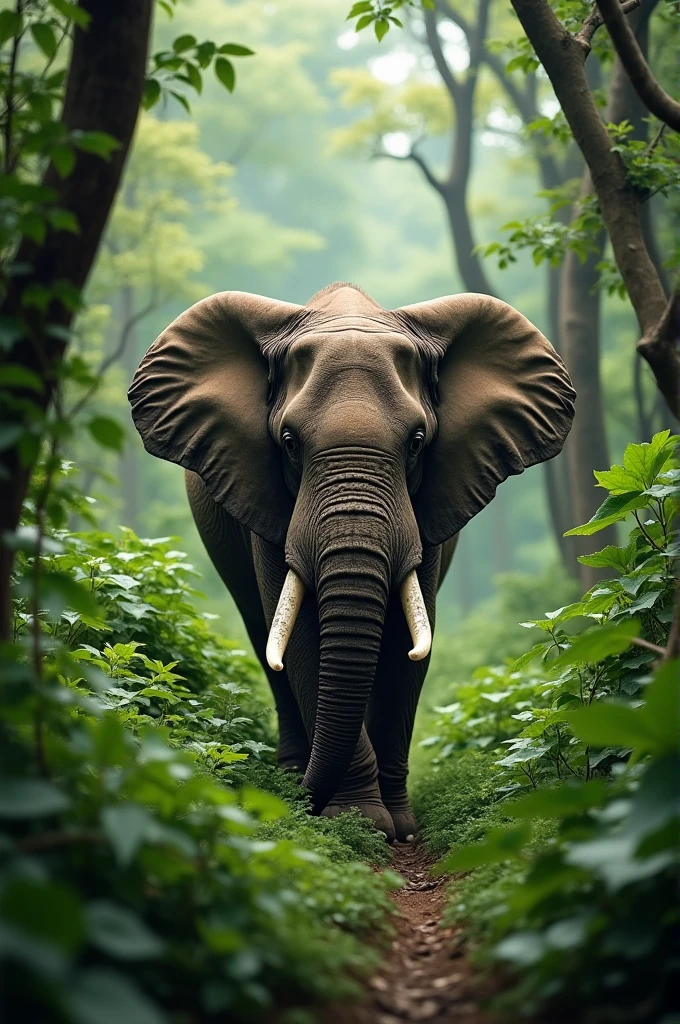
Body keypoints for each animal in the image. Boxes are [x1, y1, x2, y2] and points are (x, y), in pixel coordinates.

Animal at [129, 280, 573, 839]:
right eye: (289, 443)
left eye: (417, 442)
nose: (298, 802)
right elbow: (300, 638)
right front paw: (360, 822)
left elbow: (408, 641)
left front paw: (398, 826)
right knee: (262, 634)